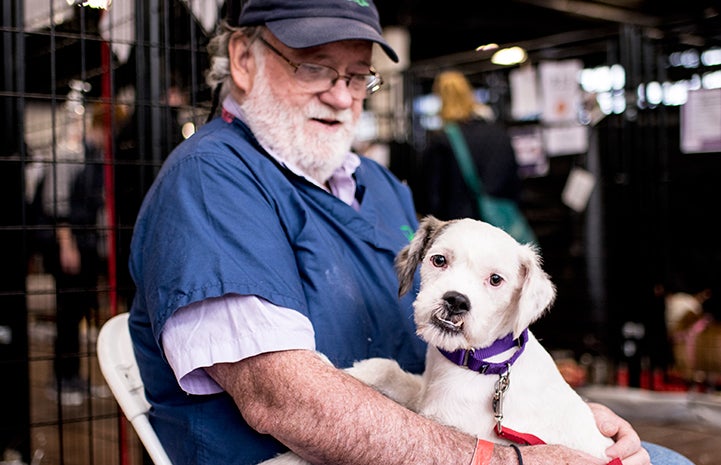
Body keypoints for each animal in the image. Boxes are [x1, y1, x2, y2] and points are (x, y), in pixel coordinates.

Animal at [262, 216, 616, 462]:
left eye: (496, 280)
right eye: (439, 260)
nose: (456, 301)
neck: (479, 363)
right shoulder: (422, 398)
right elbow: (384, 366)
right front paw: (344, 371)